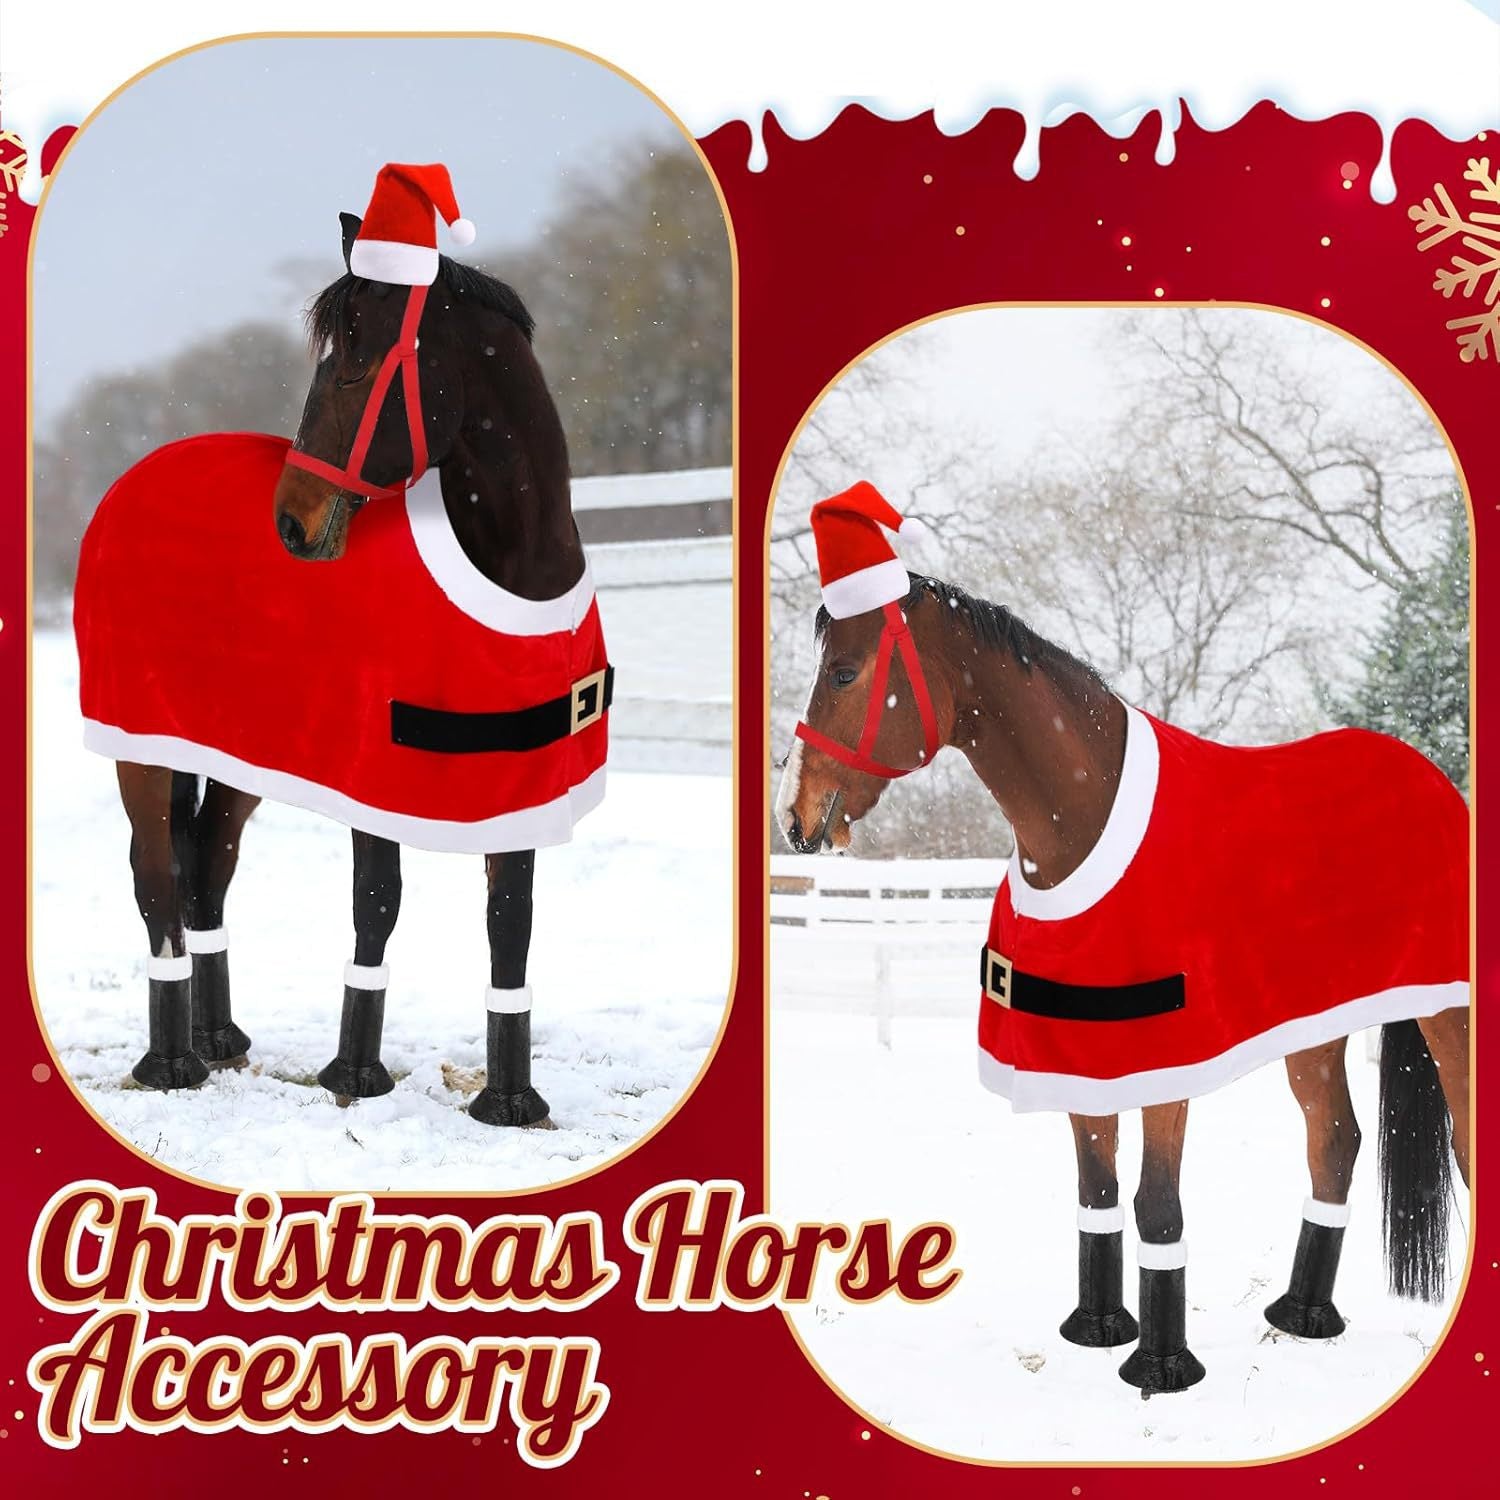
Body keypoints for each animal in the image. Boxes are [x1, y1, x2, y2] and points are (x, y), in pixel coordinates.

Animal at [77, 211, 609, 1129]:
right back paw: (172, 1062)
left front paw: (510, 1103)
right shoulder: (373, 777)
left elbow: (510, 921)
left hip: (240, 755)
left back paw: (220, 1039)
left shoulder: (520, 785)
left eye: (359, 361)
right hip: (141, 747)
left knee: (206, 870)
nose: (292, 521)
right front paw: (355, 1075)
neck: (514, 573)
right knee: (158, 880)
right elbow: (377, 903)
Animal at [775, 569, 1470, 1394]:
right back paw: (1303, 1316)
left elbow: (1157, 1205)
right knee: (1334, 1141)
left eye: (845, 674)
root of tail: (1436, 781)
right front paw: (1099, 1331)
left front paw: (1162, 1368)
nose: (793, 817)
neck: (1083, 823)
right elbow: (1098, 1192)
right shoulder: (1083, 1055)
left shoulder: (1163, 1066)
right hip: (1317, 1029)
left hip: (1450, 1017)